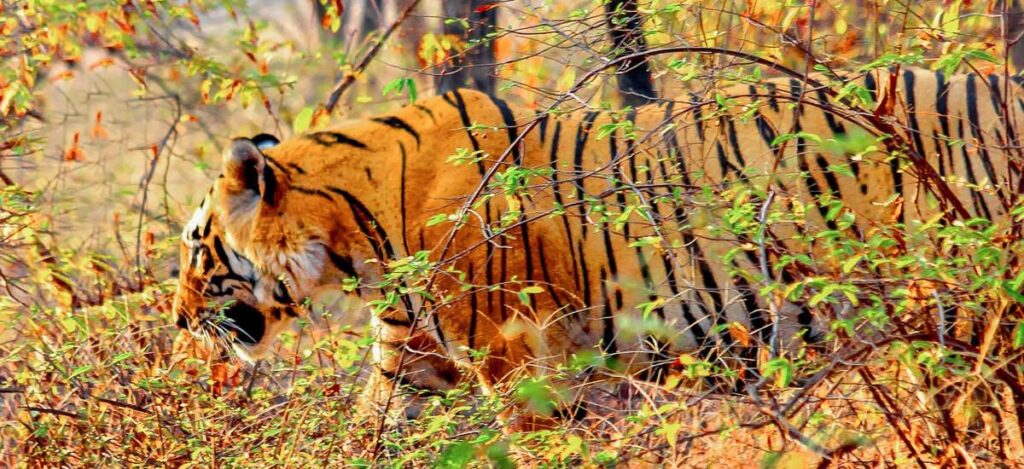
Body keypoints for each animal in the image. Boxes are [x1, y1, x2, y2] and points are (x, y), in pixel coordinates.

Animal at [173, 67, 1022, 411]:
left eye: (193, 246)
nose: (177, 322)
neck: (355, 243)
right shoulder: (410, 363)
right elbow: (372, 430)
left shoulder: (518, 356)